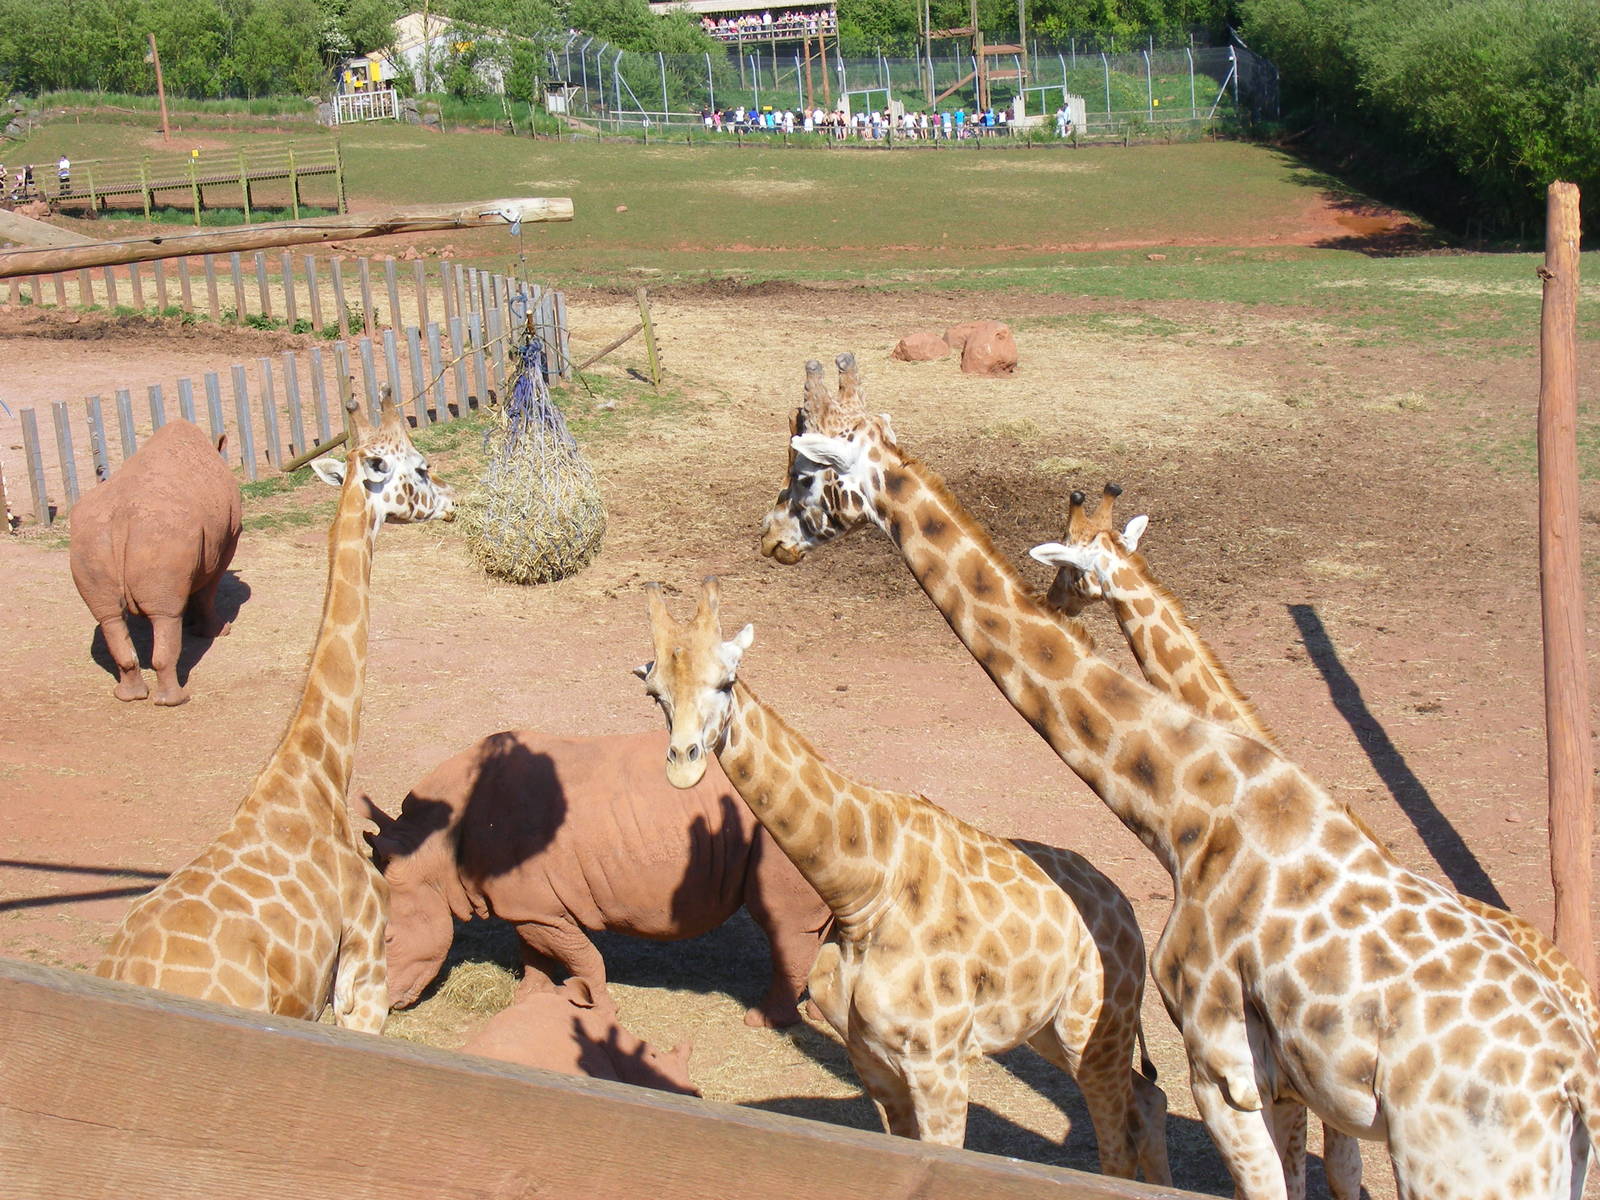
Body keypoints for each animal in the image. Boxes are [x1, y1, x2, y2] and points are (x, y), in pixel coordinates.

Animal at [635, 576, 1169, 1181]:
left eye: (726, 682)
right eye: (655, 691)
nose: (684, 764)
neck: (862, 897)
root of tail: (1124, 908)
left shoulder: (941, 1065)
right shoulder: (871, 1060)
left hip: (1094, 1025)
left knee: (1118, 1139)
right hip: (1051, 1029)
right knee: (1150, 1099)